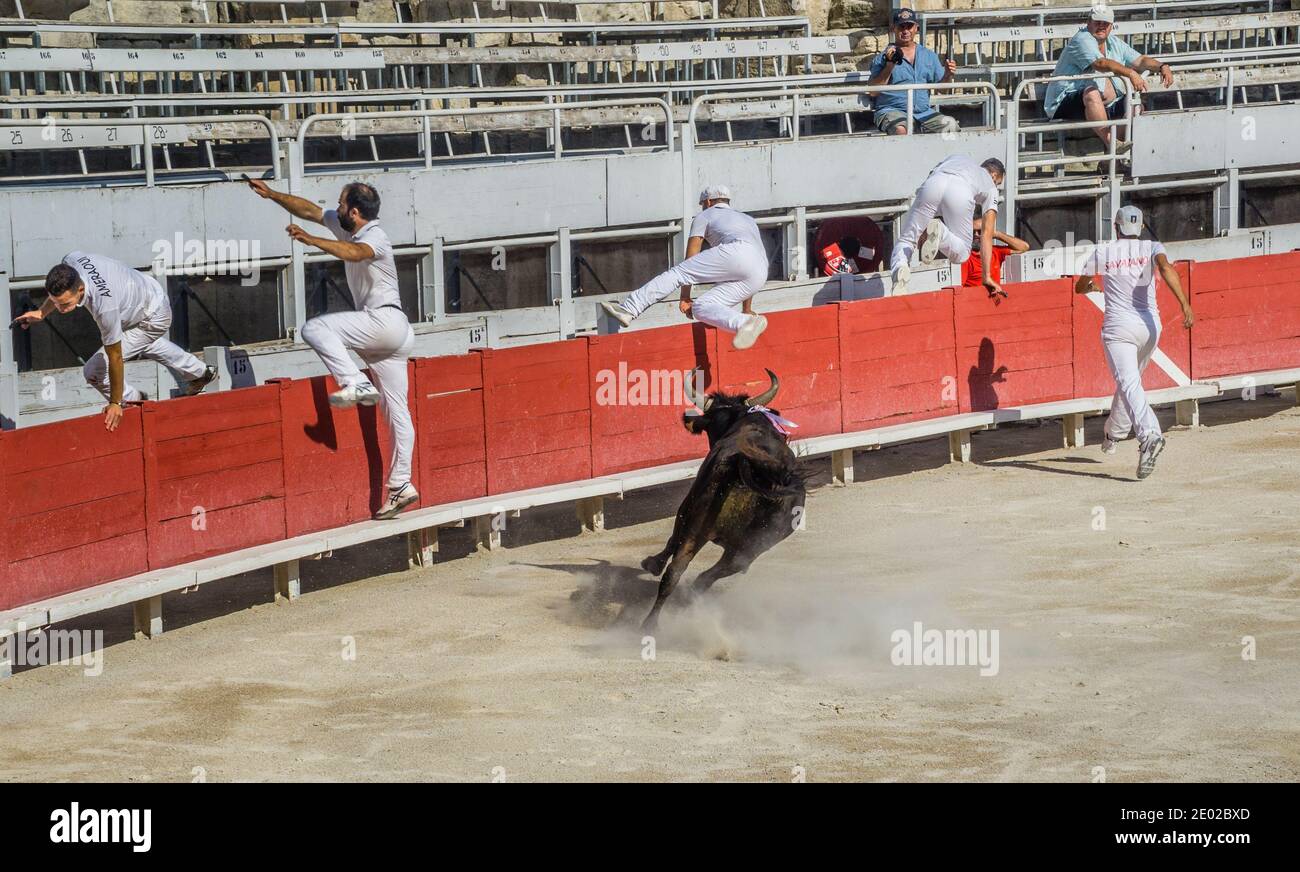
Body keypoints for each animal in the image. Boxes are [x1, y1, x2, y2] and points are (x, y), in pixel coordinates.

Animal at [637, 369, 800, 628]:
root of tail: (749, 464)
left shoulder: (687, 506)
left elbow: (672, 539)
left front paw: (651, 563)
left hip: (695, 522)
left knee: (675, 570)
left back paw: (650, 623)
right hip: (748, 551)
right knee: (702, 577)